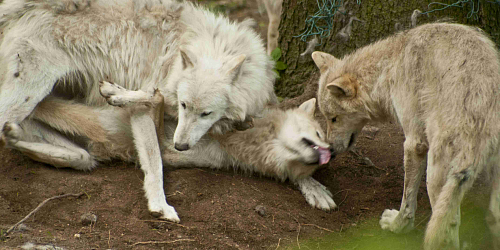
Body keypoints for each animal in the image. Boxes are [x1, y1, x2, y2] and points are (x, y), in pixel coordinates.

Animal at [0, 0, 276, 222]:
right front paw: (160, 206)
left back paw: (29, 141)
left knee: (75, 152)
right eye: (185, 105)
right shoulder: (149, 106)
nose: (181, 146)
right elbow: (155, 159)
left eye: (206, 114)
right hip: (27, 92)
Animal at [310, 22, 500, 249]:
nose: (329, 149)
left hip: (435, 178)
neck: (390, 65)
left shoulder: (414, 143)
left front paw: (397, 226)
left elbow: (407, 201)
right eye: (326, 118)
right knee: (491, 218)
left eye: (334, 119)